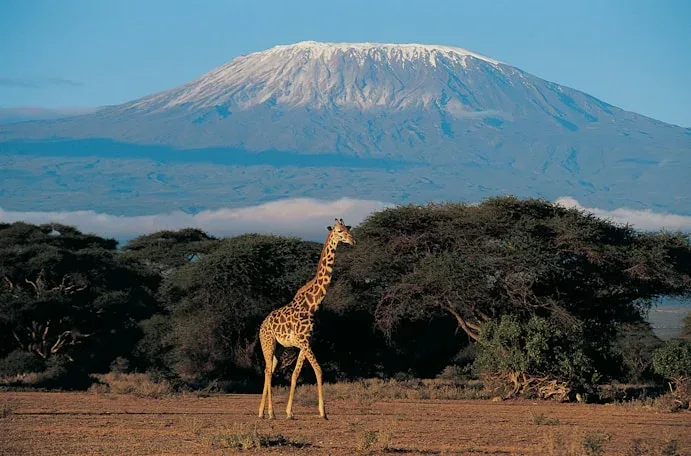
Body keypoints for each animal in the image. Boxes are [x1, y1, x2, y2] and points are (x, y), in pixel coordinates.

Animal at [257, 218, 355, 420]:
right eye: (339, 231)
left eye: (348, 229)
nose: (352, 241)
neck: (313, 303)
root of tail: (261, 326)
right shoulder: (304, 342)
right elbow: (319, 370)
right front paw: (323, 412)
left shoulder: (305, 343)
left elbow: (295, 374)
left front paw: (289, 412)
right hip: (267, 343)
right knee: (268, 371)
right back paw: (270, 412)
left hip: (278, 348)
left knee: (269, 369)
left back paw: (262, 412)